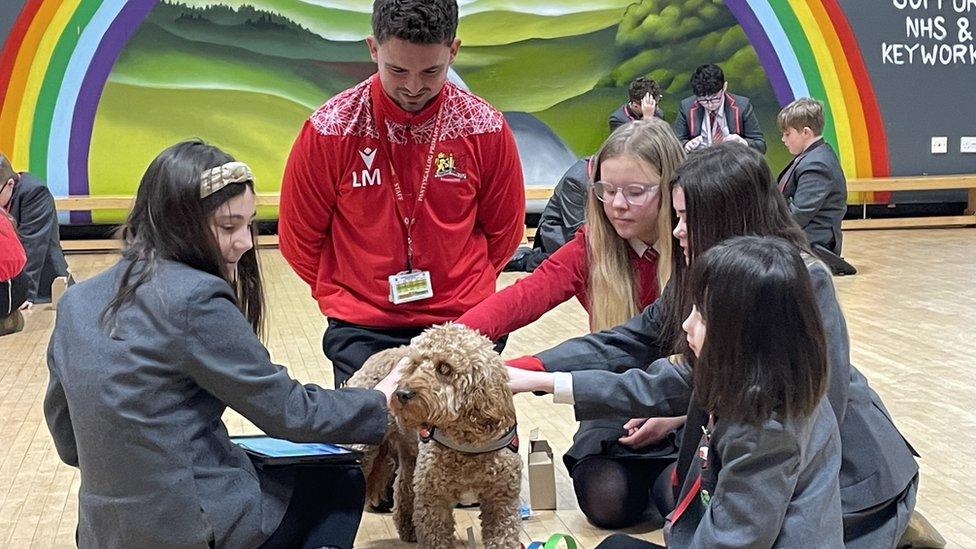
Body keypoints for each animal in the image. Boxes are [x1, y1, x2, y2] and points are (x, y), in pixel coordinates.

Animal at [346, 324, 524, 544]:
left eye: (444, 367)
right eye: (414, 364)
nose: (402, 393)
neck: (467, 446)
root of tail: (374, 357)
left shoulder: (501, 501)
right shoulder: (433, 501)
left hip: (410, 456)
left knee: (403, 488)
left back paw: (408, 528)